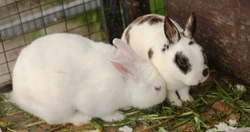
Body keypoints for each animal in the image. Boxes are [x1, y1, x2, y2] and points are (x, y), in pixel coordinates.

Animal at [10, 33, 166, 125]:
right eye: (157, 88)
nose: (164, 96)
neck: (125, 82)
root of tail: (17, 93)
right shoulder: (96, 103)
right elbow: (104, 114)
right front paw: (118, 116)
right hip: (58, 107)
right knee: (60, 119)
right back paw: (82, 118)